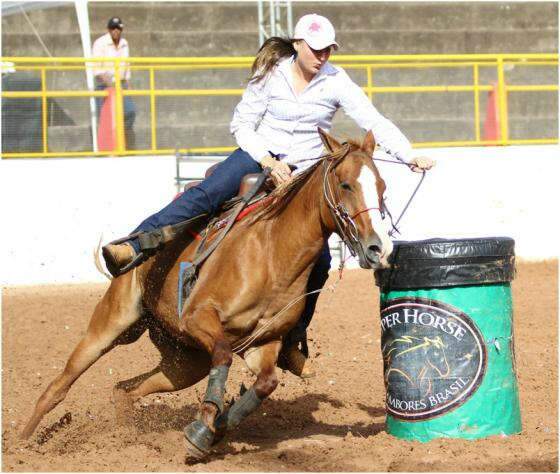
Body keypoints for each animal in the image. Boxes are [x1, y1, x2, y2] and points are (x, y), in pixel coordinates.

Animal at [20, 130, 394, 460]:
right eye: (345, 184)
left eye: (382, 187)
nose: (378, 247)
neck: (270, 255)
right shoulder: (199, 318)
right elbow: (225, 357)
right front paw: (203, 428)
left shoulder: (264, 343)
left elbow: (266, 383)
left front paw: (215, 429)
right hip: (111, 326)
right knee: (59, 386)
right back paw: (23, 442)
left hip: (184, 363)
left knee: (125, 390)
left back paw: (125, 434)